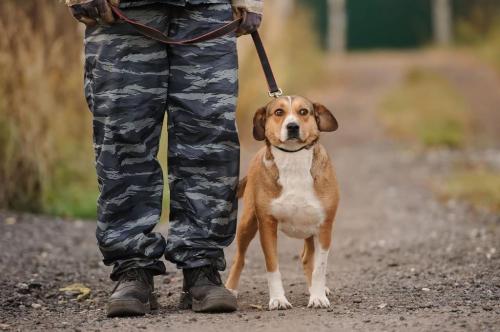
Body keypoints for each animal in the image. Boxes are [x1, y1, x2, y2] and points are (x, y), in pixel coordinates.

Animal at [226, 94, 340, 310]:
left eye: (303, 111)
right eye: (279, 112)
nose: (292, 126)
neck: (293, 160)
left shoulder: (325, 227)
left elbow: (319, 267)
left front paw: (318, 296)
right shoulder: (267, 225)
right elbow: (272, 266)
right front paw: (278, 299)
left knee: (307, 258)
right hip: (247, 224)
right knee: (239, 258)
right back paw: (229, 290)